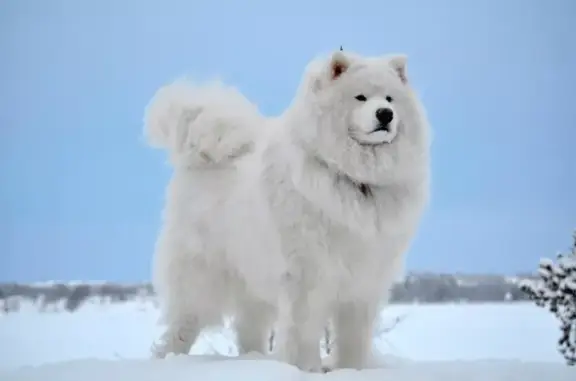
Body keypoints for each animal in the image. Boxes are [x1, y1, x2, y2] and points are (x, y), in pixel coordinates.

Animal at [145, 50, 432, 372]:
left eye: (390, 98)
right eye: (360, 97)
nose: (385, 114)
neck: (357, 180)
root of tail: (201, 159)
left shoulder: (364, 281)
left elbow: (354, 336)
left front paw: (351, 369)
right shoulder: (307, 277)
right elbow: (302, 331)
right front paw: (304, 369)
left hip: (254, 280)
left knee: (249, 329)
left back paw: (254, 361)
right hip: (201, 279)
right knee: (182, 326)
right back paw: (169, 359)